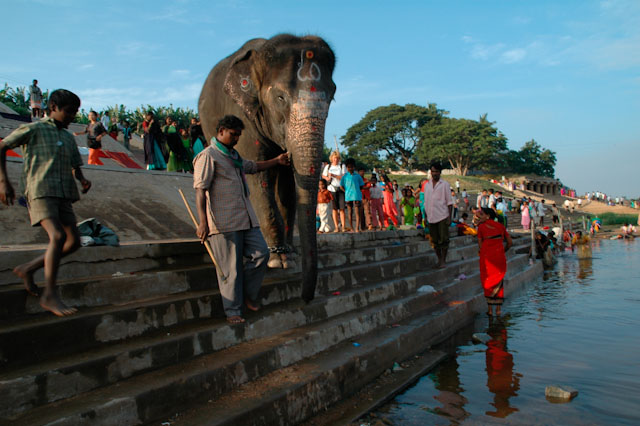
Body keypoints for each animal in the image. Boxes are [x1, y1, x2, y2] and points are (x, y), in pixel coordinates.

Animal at [200, 35, 338, 304]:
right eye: (280, 98)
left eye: (332, 97)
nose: (306, 299)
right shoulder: (241, 112)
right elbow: (257, 175)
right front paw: (279, 260)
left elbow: (287, 185)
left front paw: (289, 256)